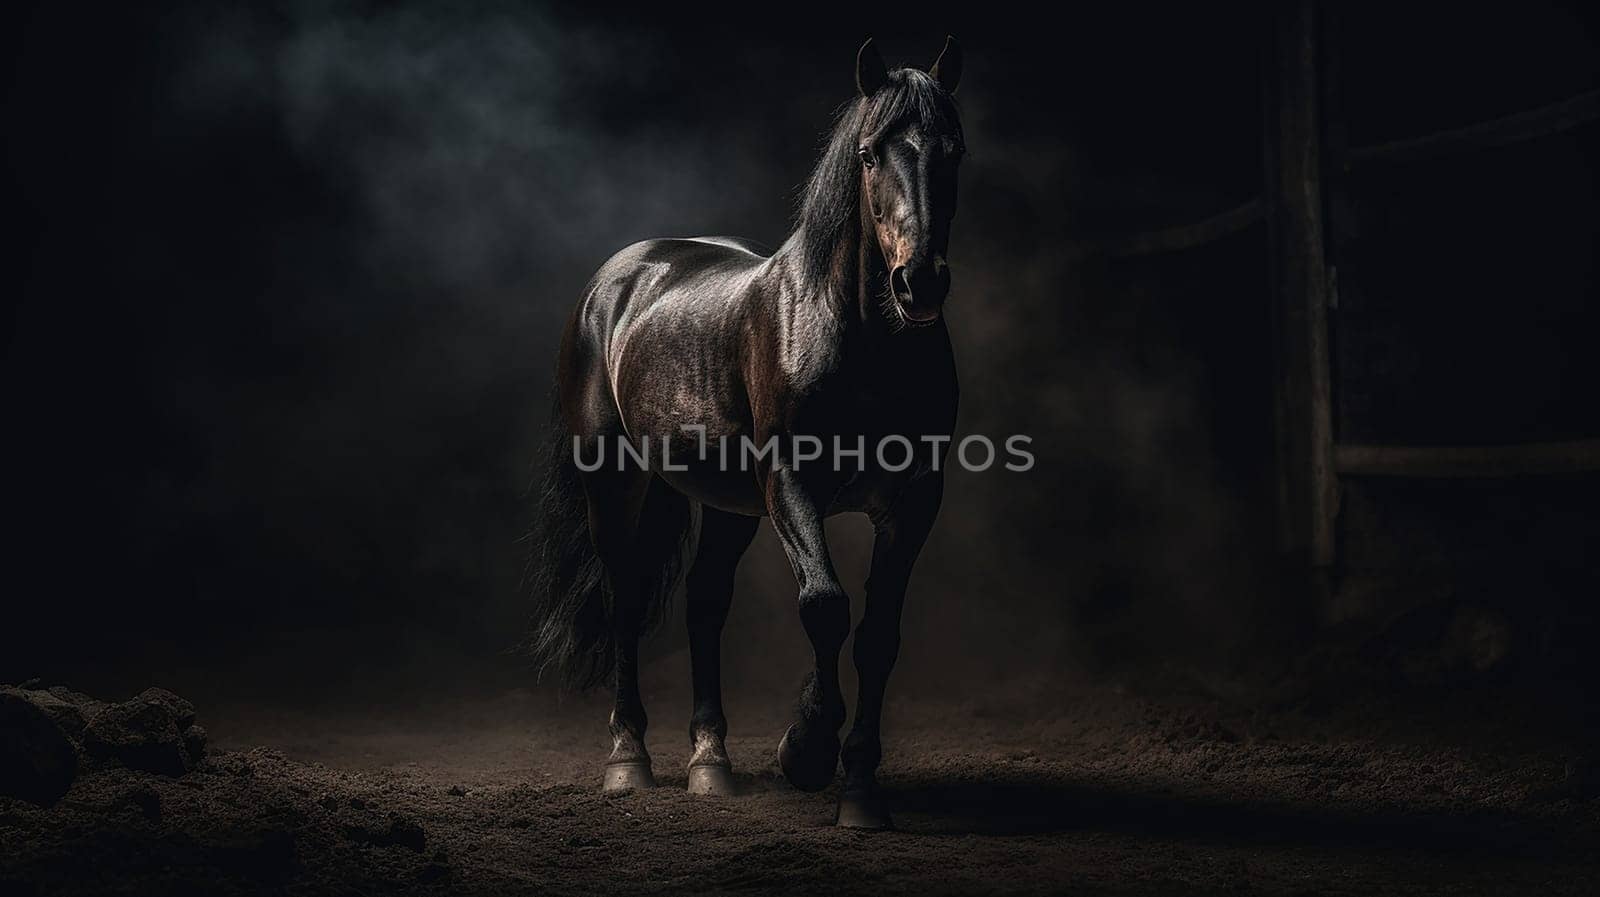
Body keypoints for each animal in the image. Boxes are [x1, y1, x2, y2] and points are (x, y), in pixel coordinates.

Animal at [531, 38, 966, 831]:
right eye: (868, 154)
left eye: (954, 148)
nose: (918, 282)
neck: (858, 338)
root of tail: (620, 278)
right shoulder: (790, 483)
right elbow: (825, 606)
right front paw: (806, 752)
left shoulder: (914, 499)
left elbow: (878, 635)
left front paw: (861, 790)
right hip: (613, 481)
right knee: (624, 597)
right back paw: (628, 760)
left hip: (723, 500)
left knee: (705, 602)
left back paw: (711, 764)